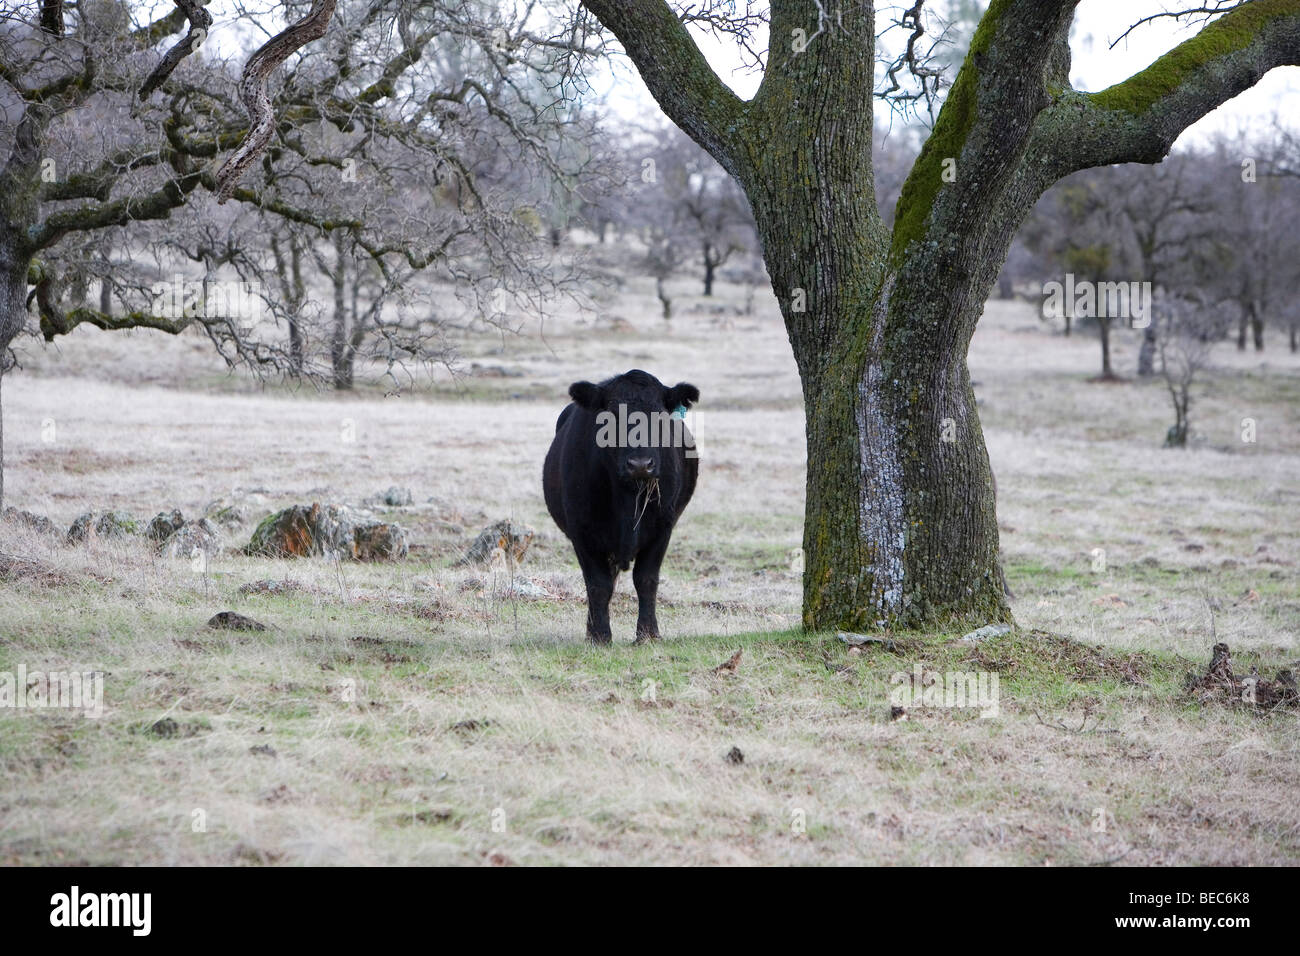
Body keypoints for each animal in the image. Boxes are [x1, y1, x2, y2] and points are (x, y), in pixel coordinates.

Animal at [540, 369, 702, 647]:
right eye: (610, 417)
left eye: (659, 414)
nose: (640, 464)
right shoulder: (582, 533)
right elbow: (598, 584)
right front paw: (600, 636)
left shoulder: (662, 529)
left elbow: (646, 579)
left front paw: (648, 634)